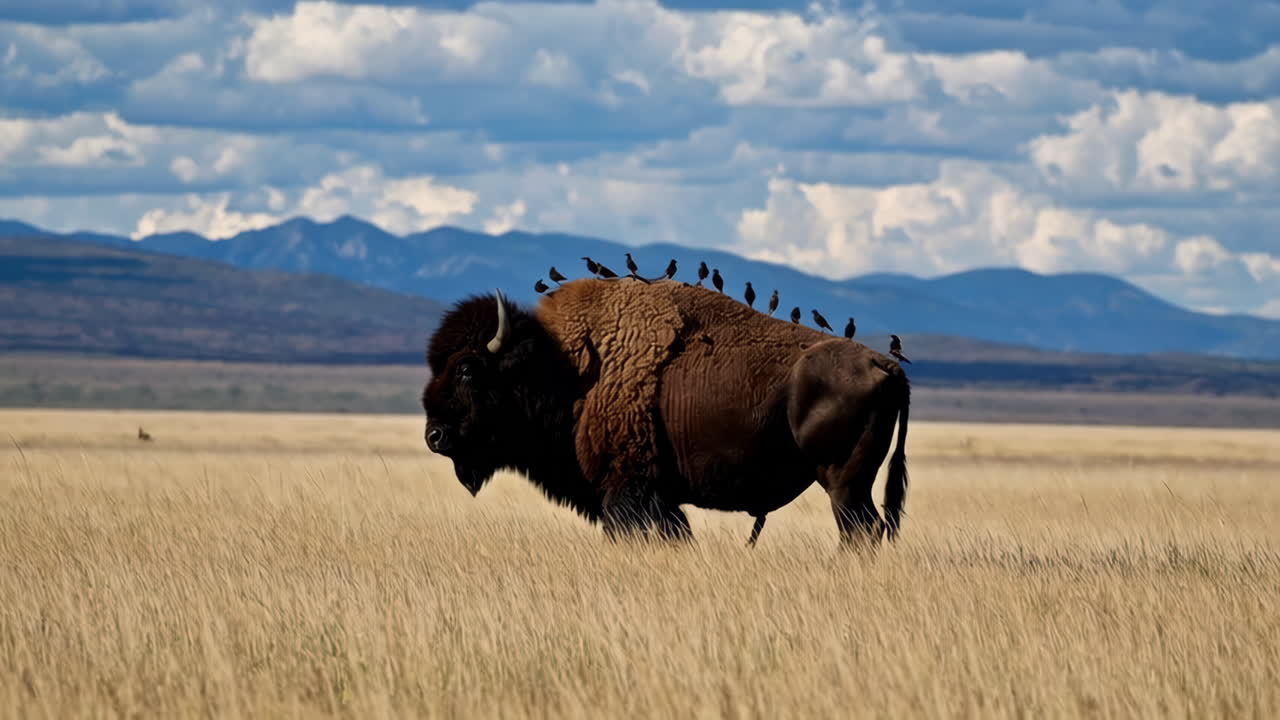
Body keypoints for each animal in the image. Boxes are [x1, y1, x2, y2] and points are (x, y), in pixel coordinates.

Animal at [422, 278, 910, 546]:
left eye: (467, 369)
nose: (434, 436)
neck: (565, 369)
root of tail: (884, 364)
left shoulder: (625, 492)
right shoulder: (661, 500)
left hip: (843, 482)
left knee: (859, 531)